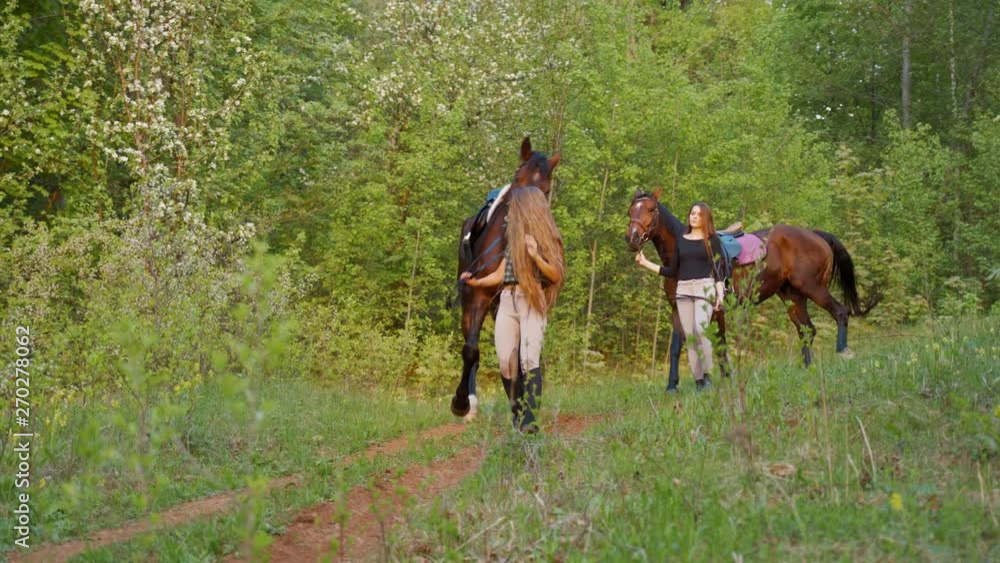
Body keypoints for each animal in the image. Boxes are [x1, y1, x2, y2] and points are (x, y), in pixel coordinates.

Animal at [625, 188, 879, 387]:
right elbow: (678, 347)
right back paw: (808, 368)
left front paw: (725, 377)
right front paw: (672, 386)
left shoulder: (716, 308)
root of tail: (816, 236)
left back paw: (842, 351)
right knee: (806, 330)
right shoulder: (678, 307)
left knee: (840, 312)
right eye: (631, 210)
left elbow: (719, 343)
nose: (632, 238)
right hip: (793, 296)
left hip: (814, 288)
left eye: (651, 209)